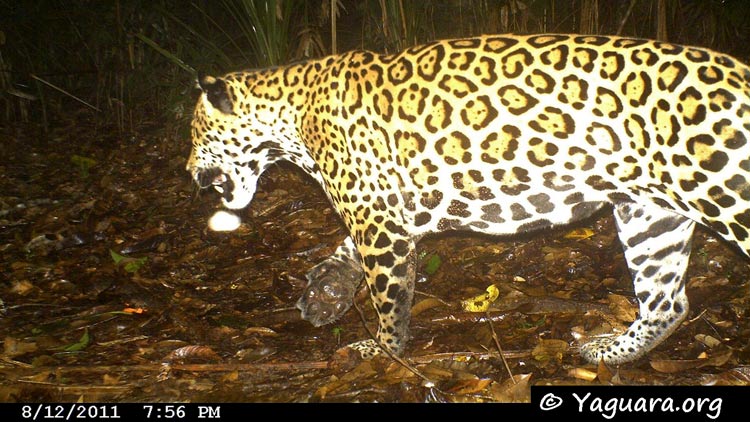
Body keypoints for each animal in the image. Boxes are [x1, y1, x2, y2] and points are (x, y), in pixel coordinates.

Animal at [187, 33, 750, 365]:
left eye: (195, 133)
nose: (190, 173)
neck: (288, 117)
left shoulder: (378, 220)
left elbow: (388, 294)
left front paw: (384, 349)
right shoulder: (393, 213)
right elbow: (347, 254)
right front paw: (326, 293)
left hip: (726, 190)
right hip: (650, 213)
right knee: (667, 301)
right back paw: (613, 351)